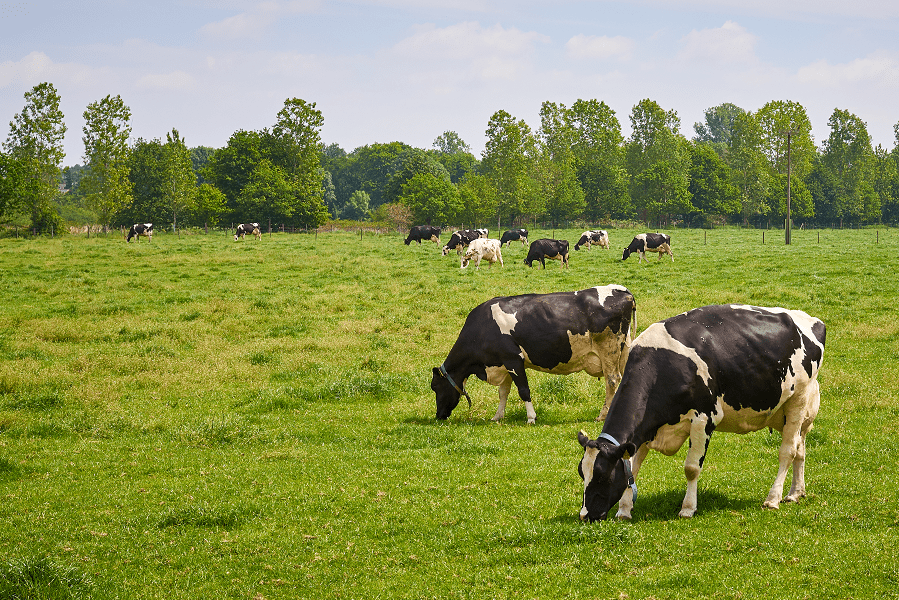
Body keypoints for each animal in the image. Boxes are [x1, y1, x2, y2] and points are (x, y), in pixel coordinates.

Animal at [432, 284, 636, 422]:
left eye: (435, 387)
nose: (438, 415)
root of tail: (621, 290)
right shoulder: (503, 362)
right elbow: (503, 392)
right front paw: (498, 416)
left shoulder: (513, 359)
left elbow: (523, 390)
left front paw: (531, 417)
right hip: (624, 349)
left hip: (609, 349)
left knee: (612, 380)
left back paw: (602, 415)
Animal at [580, 304, 828, 520]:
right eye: (582, 473)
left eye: (602, 476)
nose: (585, 516)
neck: (660, 365)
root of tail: (812, 319)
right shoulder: (644, 430)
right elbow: (633, 467)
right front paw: (624, 510)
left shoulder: (704, 417)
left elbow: (691, 468)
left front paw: (688, 508)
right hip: (789, 413)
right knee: (800, 449)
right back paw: (795, 493)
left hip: (798, 400)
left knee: (788, 451)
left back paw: (773, 498)